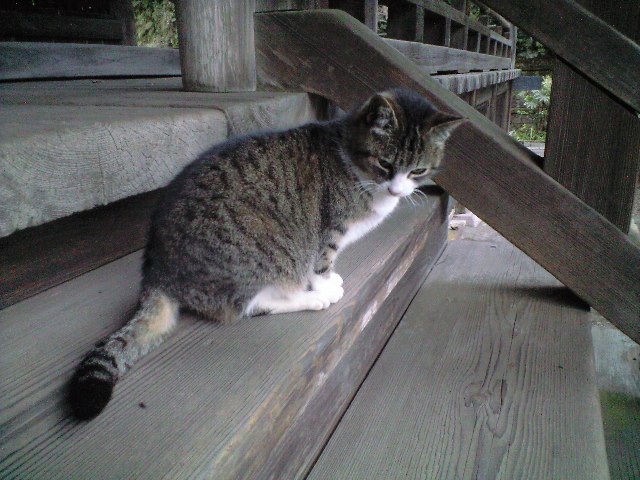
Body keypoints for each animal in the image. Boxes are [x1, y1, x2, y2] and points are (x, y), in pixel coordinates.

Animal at [68, 88, 464, 419]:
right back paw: (309, 300)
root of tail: (156, 270)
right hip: (261, 256)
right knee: (248, 306)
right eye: (385, 164)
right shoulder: (328, 232)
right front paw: (324, 287)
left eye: (418, 170)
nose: (397, 190)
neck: (351, 157)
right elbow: (321, 264)